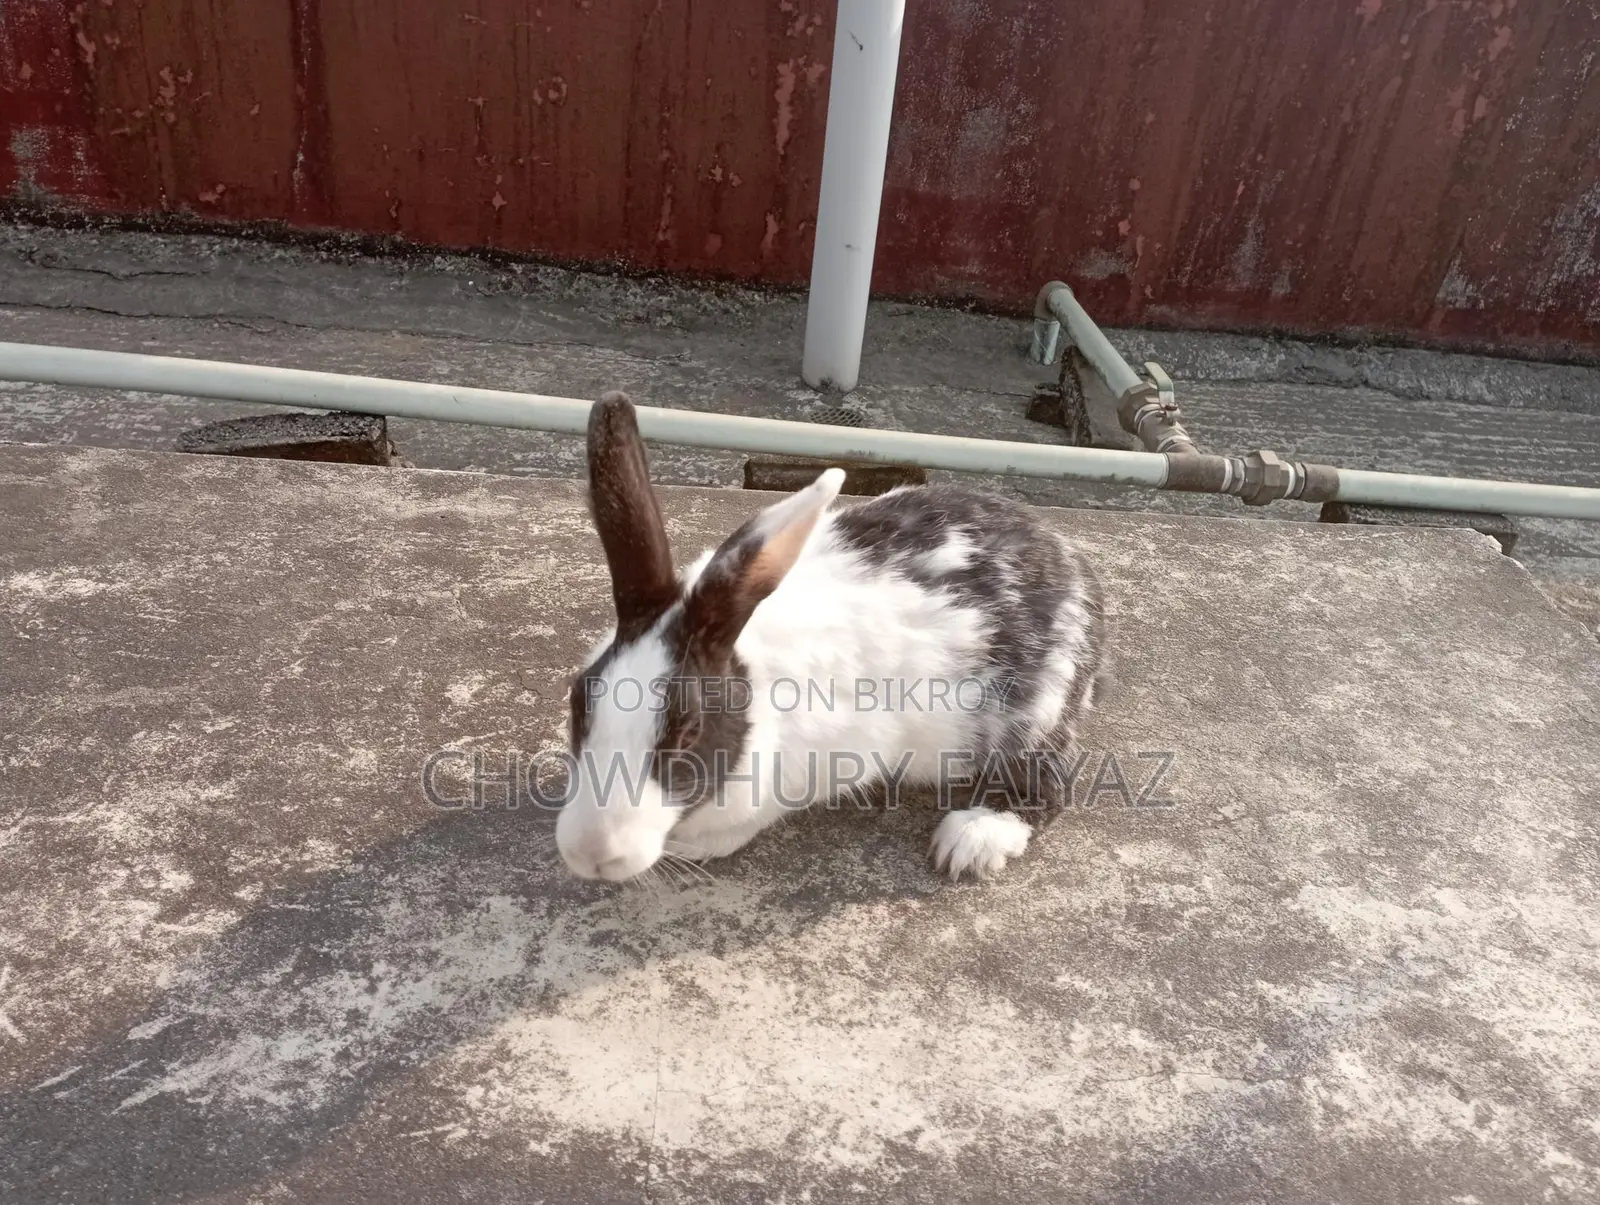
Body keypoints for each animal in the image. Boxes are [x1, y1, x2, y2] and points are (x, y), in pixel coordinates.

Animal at [555, 392, 1108, 884]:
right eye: (580, 701)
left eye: (689, 731)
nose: (590, 853)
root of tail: (1072, 563)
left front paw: (694, 847)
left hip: (1034, 716)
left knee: (1051, 782)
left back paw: (970, 840)